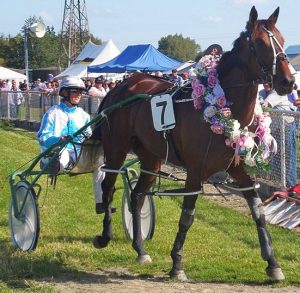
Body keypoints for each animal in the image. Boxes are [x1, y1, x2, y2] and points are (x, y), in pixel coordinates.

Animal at [92, 6, 294, 280]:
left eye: (282, 40)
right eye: (260, 43)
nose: (288, 82)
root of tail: (121, 87)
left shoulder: (235, 167)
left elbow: (257, 210)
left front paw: (273, 263)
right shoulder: (196, 171)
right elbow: (187, 216)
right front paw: (177, 263)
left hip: (152, 158)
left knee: (137, 196)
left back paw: (140, 249)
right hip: (116, 148)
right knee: (109, 188)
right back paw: (105, 236)